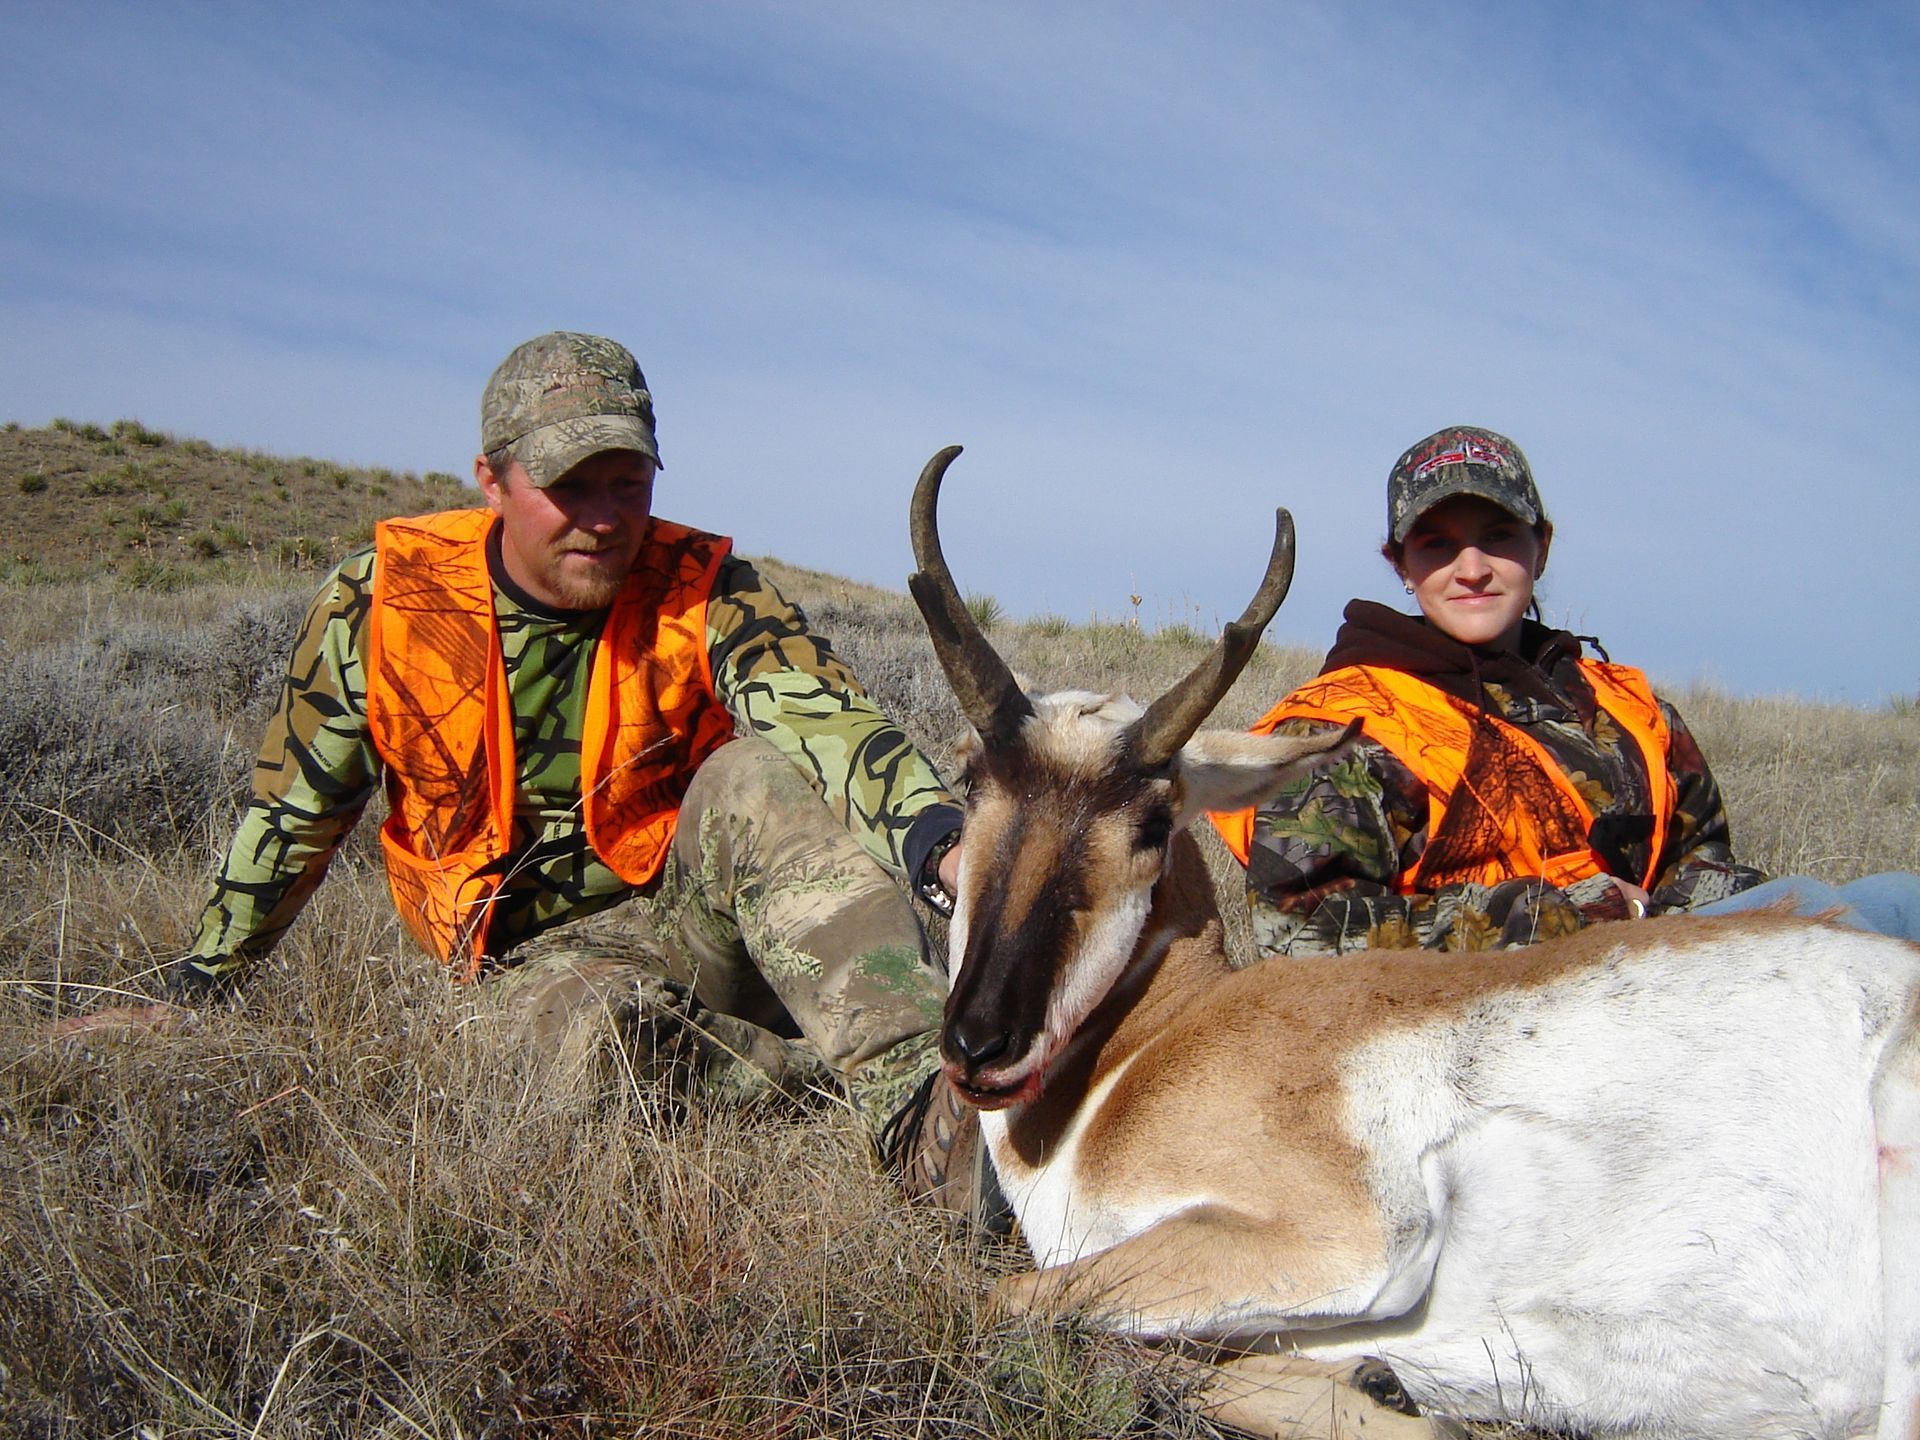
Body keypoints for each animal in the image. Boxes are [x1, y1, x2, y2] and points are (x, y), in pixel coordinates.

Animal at [907, 445, 1920, 1440]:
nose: (982, 1042)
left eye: (1155, 822)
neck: (1149, 1051)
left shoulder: (1350, 1242)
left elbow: (1005, 1298)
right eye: (971, 777)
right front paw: (1383, 1386)